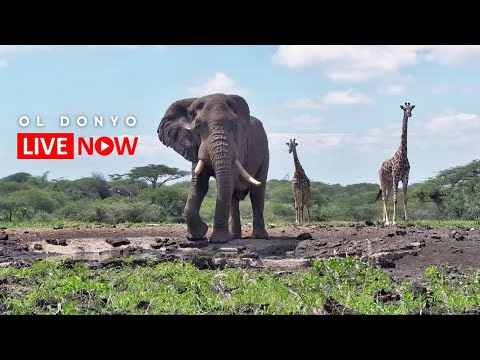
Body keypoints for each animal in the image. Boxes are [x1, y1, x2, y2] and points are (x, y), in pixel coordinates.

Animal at [158, 94, 270, 243]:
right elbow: (199, 185)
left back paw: (259, 237)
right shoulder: (195, 146)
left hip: (265, 151)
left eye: (235, 125)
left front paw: (218, 240)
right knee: (233, 197)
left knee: (257, 192)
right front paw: (196, 235)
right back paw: (234, 237)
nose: (205, 227)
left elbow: (226, 184)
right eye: (198, 126)